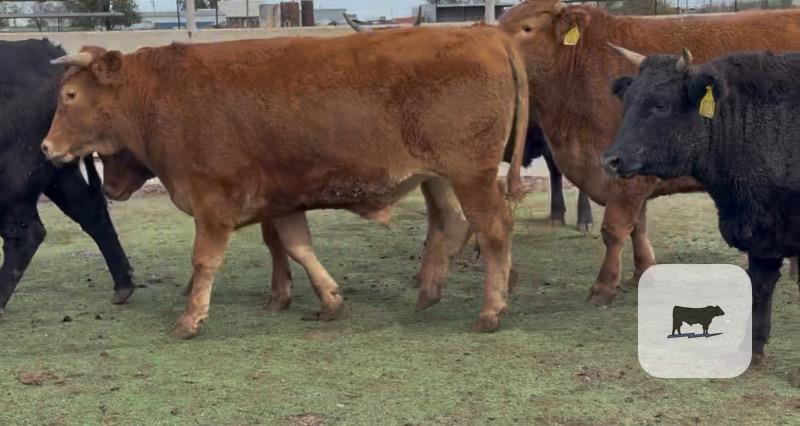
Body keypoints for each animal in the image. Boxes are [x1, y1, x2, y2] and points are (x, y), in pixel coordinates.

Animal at [41, 27, 528, 338]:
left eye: (70, 95)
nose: (46, 148)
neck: (161, 95)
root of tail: (485, 33)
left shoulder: (212, 201)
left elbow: (205, 261)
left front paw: (190, 319)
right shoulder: (284, 202)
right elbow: (297, 247)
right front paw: (329, 301)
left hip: (472, 175)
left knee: (494, 229)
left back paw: (491, 311)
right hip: (441, 178)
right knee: (449, 223)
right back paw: (429, 292)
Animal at [498, 0, 800, 306]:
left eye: (526, 28)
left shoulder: (626, 177)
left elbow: (615, 229)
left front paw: (603, 286)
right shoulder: (628, 168)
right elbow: (638, 226)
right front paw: (643, 271)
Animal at [603, 48, 800, 364]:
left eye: (661, 104)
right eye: (627, 101)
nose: (611, 160)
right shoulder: (762, 231)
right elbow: (759, 286)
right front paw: (752, 350)